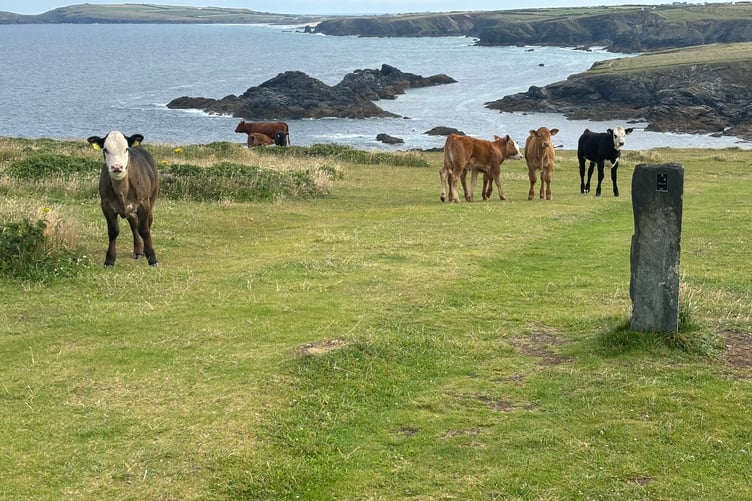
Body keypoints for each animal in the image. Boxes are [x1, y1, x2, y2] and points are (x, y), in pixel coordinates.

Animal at [87, 131, 159, 268]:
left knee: (148, 222)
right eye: (105, 149)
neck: (122, 190)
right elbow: (113, 231)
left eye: (126, 149)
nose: (117, 167)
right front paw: (109, 260)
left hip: (152, 197)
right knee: (133, 223)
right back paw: (138, 251)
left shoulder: (144, 203)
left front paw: (152, 258)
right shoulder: (106, 205)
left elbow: (144, 229)